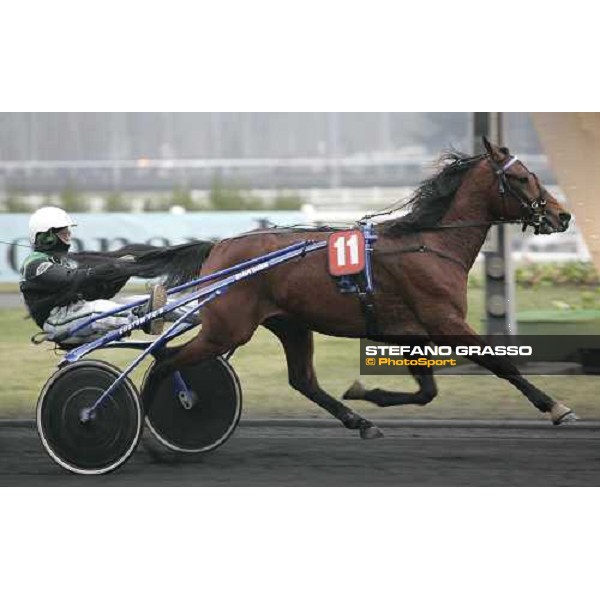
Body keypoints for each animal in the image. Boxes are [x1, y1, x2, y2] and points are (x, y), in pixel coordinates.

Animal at [146, 139, 576, 440]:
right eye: (521, 177)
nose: (563, 215)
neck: (429, 243)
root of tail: (218, 246)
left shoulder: (410, 334)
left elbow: (427, 391)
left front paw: (365, 391)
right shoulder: (445, 321)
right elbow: (501, 363)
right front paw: (555, 406)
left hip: (291, 324)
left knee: (302, 380)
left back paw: (359, 421)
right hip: (228, 329)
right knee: (165, 361)